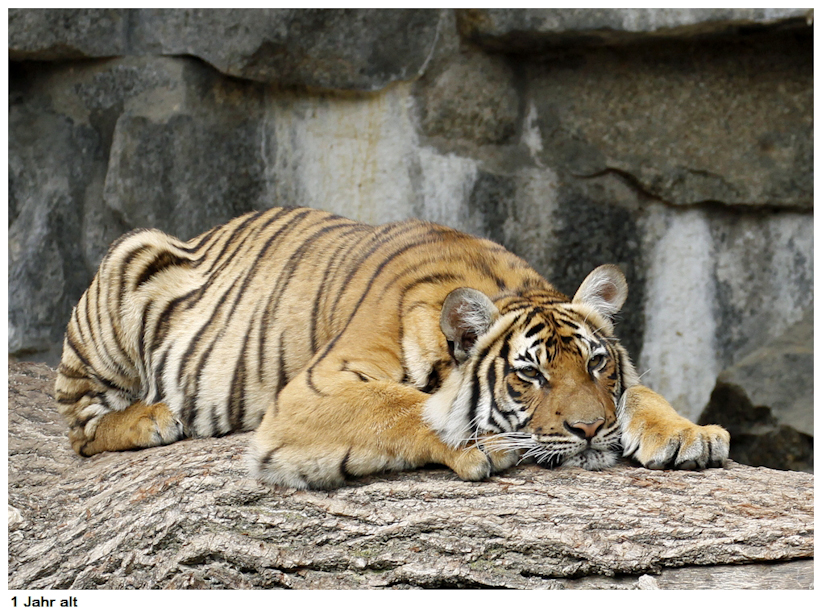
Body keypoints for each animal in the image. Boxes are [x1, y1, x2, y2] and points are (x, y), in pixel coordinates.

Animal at [55, 206, 730, 489]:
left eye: (595, 363)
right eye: (530, 375)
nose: (589, 432)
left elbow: (642, 393)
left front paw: (689, 434)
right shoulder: (312, 390)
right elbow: (404, 407)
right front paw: (477, 445)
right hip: (130, 260)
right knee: (79, 426)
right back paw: (154, 419)